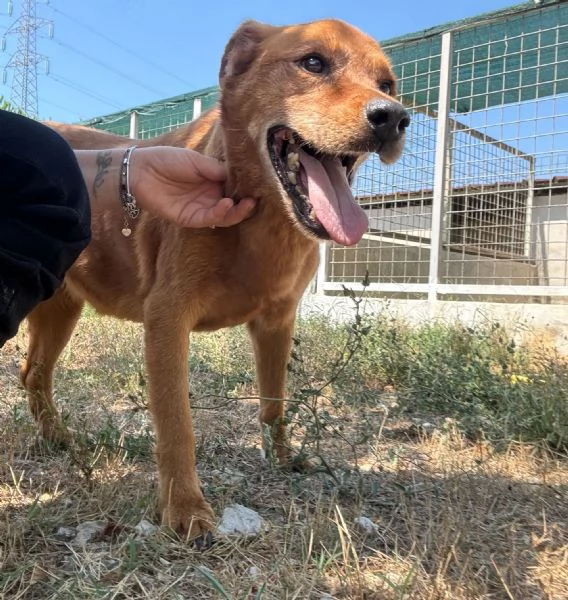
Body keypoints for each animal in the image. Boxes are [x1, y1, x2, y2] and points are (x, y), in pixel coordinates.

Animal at [17, 18, 408, 540]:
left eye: (387, 84)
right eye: (313, 62)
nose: (394, 118)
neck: (267, 221)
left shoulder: (277, 323)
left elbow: (274, 401)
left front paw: (282, 458)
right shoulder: (166, 317)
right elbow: (176, 423)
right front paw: (186, 509)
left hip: (62, 309)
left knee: (33, 375)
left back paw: (59, 439)